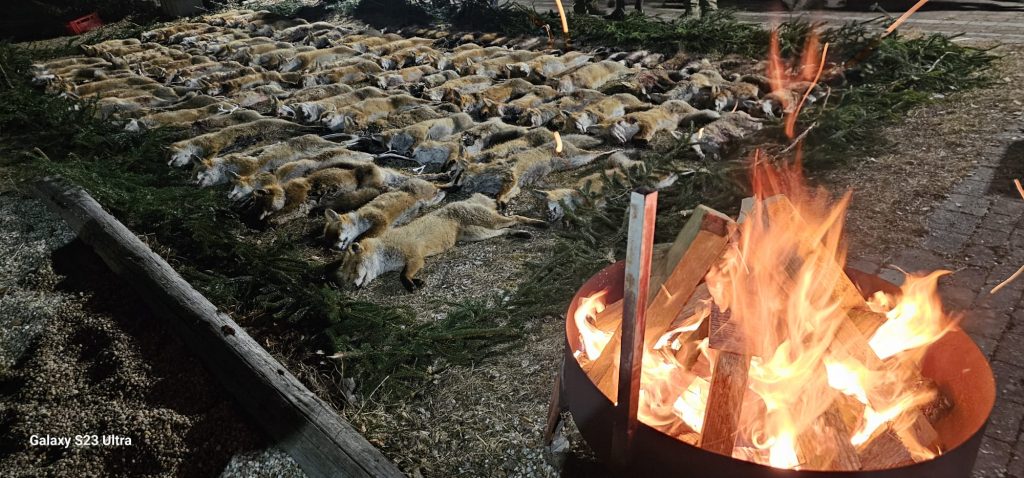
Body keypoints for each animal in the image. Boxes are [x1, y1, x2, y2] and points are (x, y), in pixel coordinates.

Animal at [333, 191, 544, 290]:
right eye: (349, 276)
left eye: (355, 269)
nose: (354, 286)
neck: (386, 251)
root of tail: (465, 200)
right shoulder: (410, 261)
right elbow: (404, 273)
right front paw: (416, 281)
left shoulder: (416, 257)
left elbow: (403, 275)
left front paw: (410, 284)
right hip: (478, 234)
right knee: (506, 230)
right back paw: (521, 234)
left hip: (489, 222)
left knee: (515, 217)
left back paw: (539, 223)